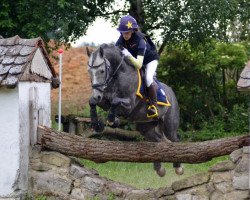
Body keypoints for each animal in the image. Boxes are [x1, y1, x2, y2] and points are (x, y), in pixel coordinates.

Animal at [86, 43, 184, 177]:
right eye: (89, 71)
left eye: (101, 71)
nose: (96, 95)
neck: (118, 75)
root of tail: (172, 93)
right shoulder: (103, 100)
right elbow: (93, 102)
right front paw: (97, 125)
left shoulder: (129, 105)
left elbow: (115, 102)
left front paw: (112, 121)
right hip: (145, 127)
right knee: (158, 141)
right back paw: (159, 169)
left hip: (169, 125)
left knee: (175, 140)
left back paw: (178, 167)